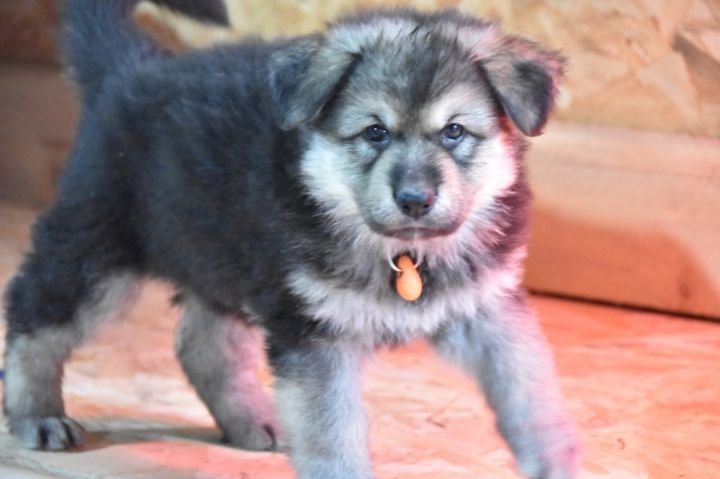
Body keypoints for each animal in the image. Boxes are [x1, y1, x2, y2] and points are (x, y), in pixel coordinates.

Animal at [2, 1, 579, 478]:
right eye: (375, 132)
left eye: (454, 131)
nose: (415, 199)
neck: (403, 252)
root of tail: (131, 70)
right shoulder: (315, 335)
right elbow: (333, 435)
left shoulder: (489, 310)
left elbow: (532, 393)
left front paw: (555, 459)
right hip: (96, 249)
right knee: (35, 318)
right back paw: (37, 415)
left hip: (223, 257)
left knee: (202, 346)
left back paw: (251, 420)